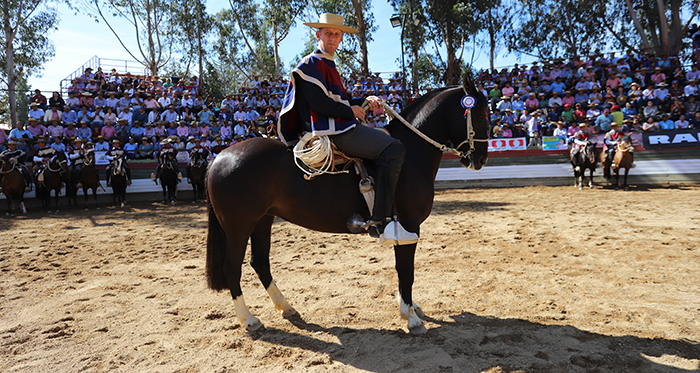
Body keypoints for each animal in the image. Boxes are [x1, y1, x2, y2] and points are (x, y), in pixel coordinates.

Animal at [204, 73, 486, 334]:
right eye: (482, 114)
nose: (480, 159)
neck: (411, 153)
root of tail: (219, 157)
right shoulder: (407, 224)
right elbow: (406, 270)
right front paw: (411, 316)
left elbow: (403, 270)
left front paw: (412, 308)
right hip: (238, 228)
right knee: (231, 267)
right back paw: (249, 319)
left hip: (262, 222)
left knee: (260, 262)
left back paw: (286, 307)